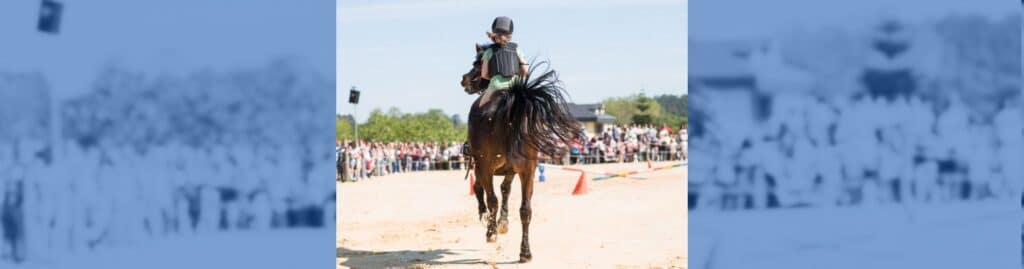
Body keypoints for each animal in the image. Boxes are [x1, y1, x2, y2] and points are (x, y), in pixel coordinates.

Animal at [460, 44, 581, 263]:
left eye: (477, 63)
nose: (464, 79)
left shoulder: (483, 168)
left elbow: (482, 190)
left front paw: (490, 220)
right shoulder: (512, 170)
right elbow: (505, 191)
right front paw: (503, 222)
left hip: (487, 166)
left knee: (492, 199)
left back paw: (491, 233)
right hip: (528, 171)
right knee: (525, 210)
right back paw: (525, 252)